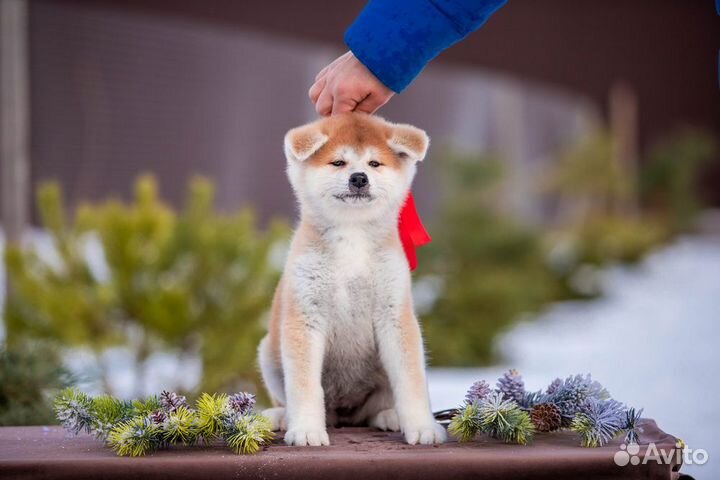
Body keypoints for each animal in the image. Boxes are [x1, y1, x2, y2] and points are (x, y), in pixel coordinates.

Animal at [256, 111, 442, 446]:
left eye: (374, 163)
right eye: (338, 162)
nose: (359, 178)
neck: (352, 238)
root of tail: (345, 415)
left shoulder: (394, 314)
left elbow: (411, 382)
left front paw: (422, 427)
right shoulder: (306, 315)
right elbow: (304, 386)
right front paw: (306, 429)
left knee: (374, 409)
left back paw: (390, 416)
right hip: (268, 352)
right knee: (299, 402)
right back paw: (282, 417)